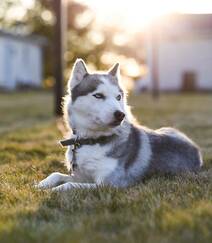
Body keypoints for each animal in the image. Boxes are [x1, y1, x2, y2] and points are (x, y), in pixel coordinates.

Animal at [36, 59, 204, 192]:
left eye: (118, 97)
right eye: (98, 95)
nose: (120, 114)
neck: (91, 140)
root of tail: (196, 149)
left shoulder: (109, 184)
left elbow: (69, 185)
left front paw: (51, 191)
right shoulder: (80, 176)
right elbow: (56, 174)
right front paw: (39, 185)